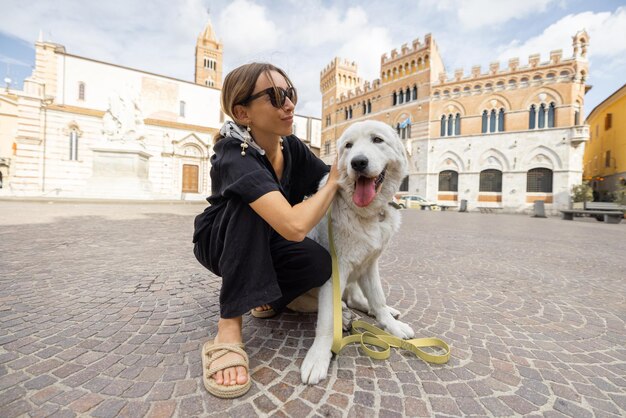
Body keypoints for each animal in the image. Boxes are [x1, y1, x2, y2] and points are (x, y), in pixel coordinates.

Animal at [296, 119, 416, 384]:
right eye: (348, 146)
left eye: (377, 140)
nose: (358, 162)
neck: (368, 214)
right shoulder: (335, 270)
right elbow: (326, 322)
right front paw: (318, 357)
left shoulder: (370, 263)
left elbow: (378, 299)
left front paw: (391, 326)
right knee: (333, 305)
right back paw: (344, 317)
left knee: (355, 299)